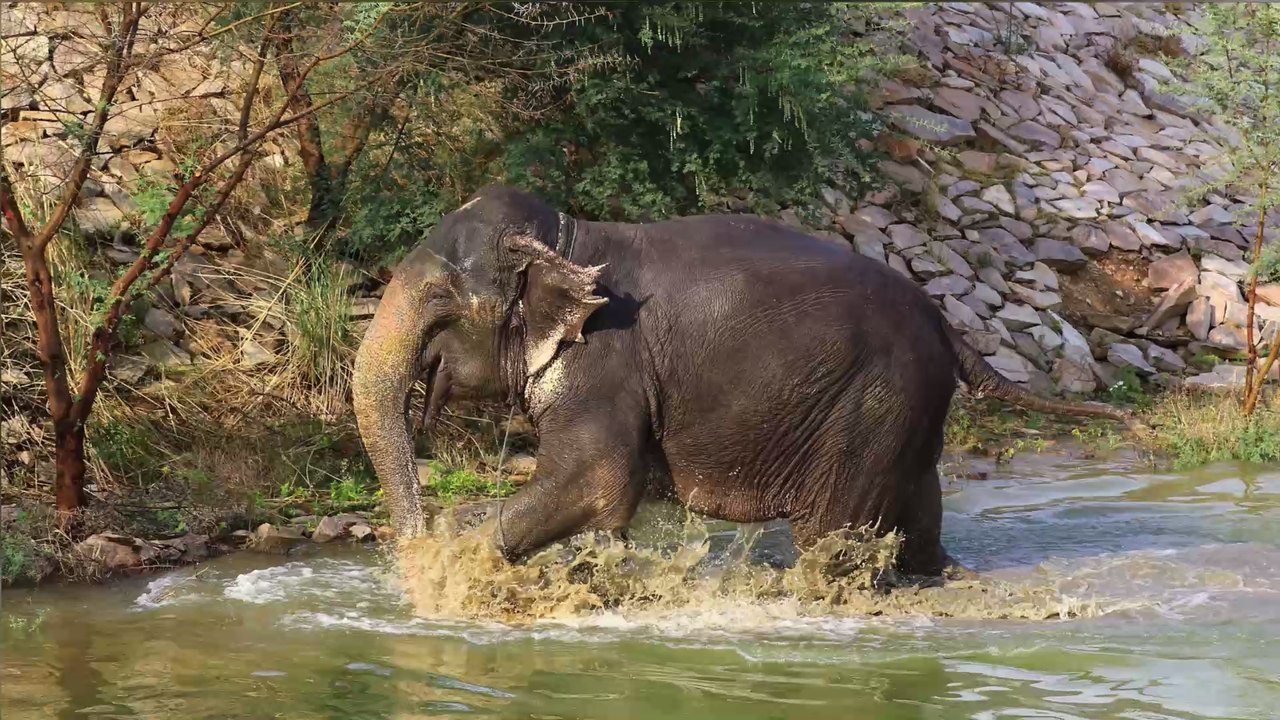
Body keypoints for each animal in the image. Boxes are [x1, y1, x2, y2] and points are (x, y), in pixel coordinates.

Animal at [352, 184, 1129, 577]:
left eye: (439, 301)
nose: (412, 541)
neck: (570, 238)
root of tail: (946, 325)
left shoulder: (607, 364)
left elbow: (594, 477)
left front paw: (446, 573)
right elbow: (603, 503)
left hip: (871, 401)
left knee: (831, 536)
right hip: (906, 409)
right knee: (917, 516)